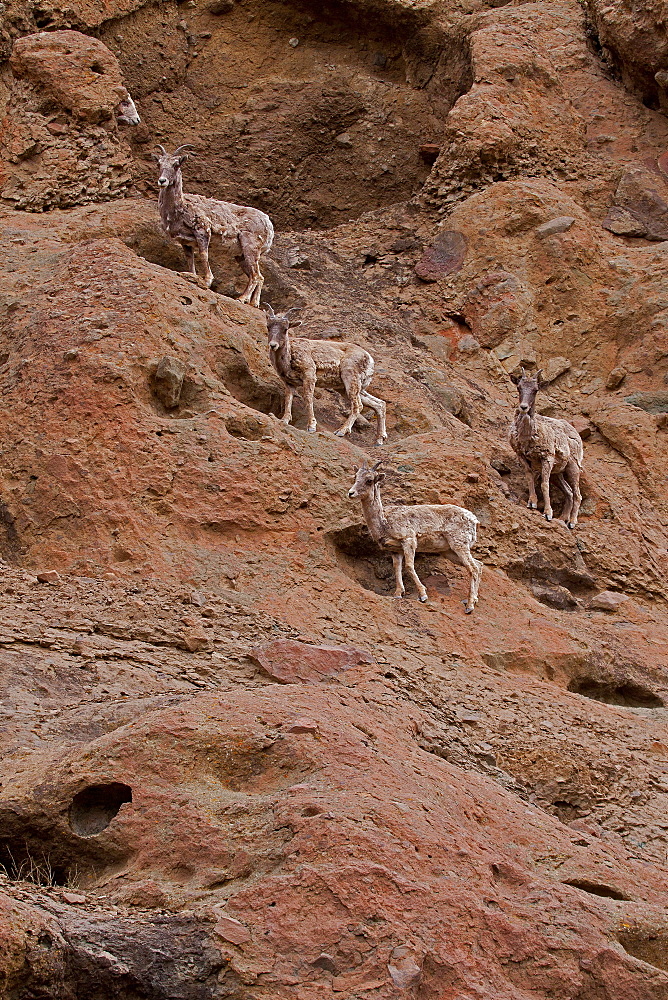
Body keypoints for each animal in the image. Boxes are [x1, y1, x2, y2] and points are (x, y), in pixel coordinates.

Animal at [154, 146, 274, 304]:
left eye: (176, 164)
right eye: (159, 164)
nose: (162, 181)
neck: (179, 208)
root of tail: (268, 223)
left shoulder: (203, 232)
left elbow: (204, 255)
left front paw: (207, 282)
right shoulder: (185, 242)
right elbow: (190, 261)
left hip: (250, 248)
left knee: (256, 276)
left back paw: (241, 299)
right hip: (241, 255)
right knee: (259, 277)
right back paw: (253, 303)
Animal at [264, 304, 386, 446]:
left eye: (285, 329)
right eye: (268, 326)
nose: (273, 345)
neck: (288, 358)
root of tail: (369, 359)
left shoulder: (309, 375)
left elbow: (308, 398)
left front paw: (311, 427)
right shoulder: (289, 383)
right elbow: (288, 399)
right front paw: (284, 420)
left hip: (350, 379)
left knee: (358, 405)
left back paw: (341, 431)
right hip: (349, 388)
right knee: (379, 404)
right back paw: (379, 440)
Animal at [348, 460, 482, 608]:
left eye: (369, 480)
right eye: (355, 477)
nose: (351, 493)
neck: (384, 523)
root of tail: (474, 520)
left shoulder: (409, 540)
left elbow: (409, 566)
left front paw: (423, 595)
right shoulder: (395, 550)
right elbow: (397, 568)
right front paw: (398, 594)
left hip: (459, 545)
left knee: (473, 568)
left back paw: (469, 605)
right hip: (449, 552)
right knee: (479, 565)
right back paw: (474, 599)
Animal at [508, 366, 580, 524]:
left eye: (535, 390)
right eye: (519, 387)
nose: (523, 407)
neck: (528, 435)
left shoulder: (547, 458)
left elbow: (544, 484)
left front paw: (548, 513)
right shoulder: (522, 456)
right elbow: (529, 477)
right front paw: (532, 503)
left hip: (573, 467)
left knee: (577, 494)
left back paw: (571, 522)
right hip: (557, 474)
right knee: (569, 492)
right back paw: (563, 518)